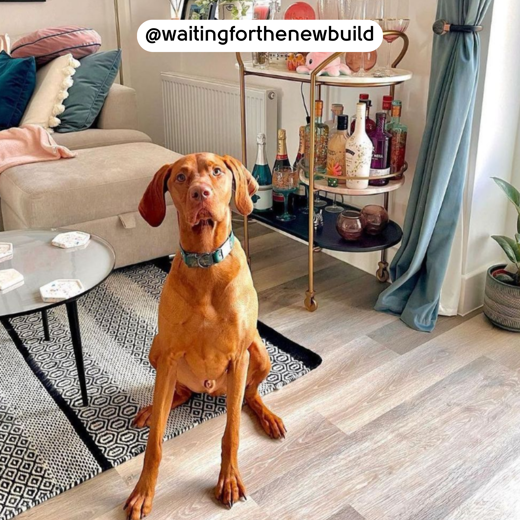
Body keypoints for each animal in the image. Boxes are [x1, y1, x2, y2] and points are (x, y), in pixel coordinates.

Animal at [124, 152, 286, 516]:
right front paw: (144, 492)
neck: (205, 264)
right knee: (177, 394)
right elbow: (155, 443)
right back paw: (156, 407)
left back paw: (267, 417)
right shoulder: (169, 355)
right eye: (181, 177)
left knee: (250, 395)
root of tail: (212, 390)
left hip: (259, 352)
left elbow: (232, 432)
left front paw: (229, 480)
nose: (201, 193)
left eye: (216, 172)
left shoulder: (238, 356)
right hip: (156, 349)